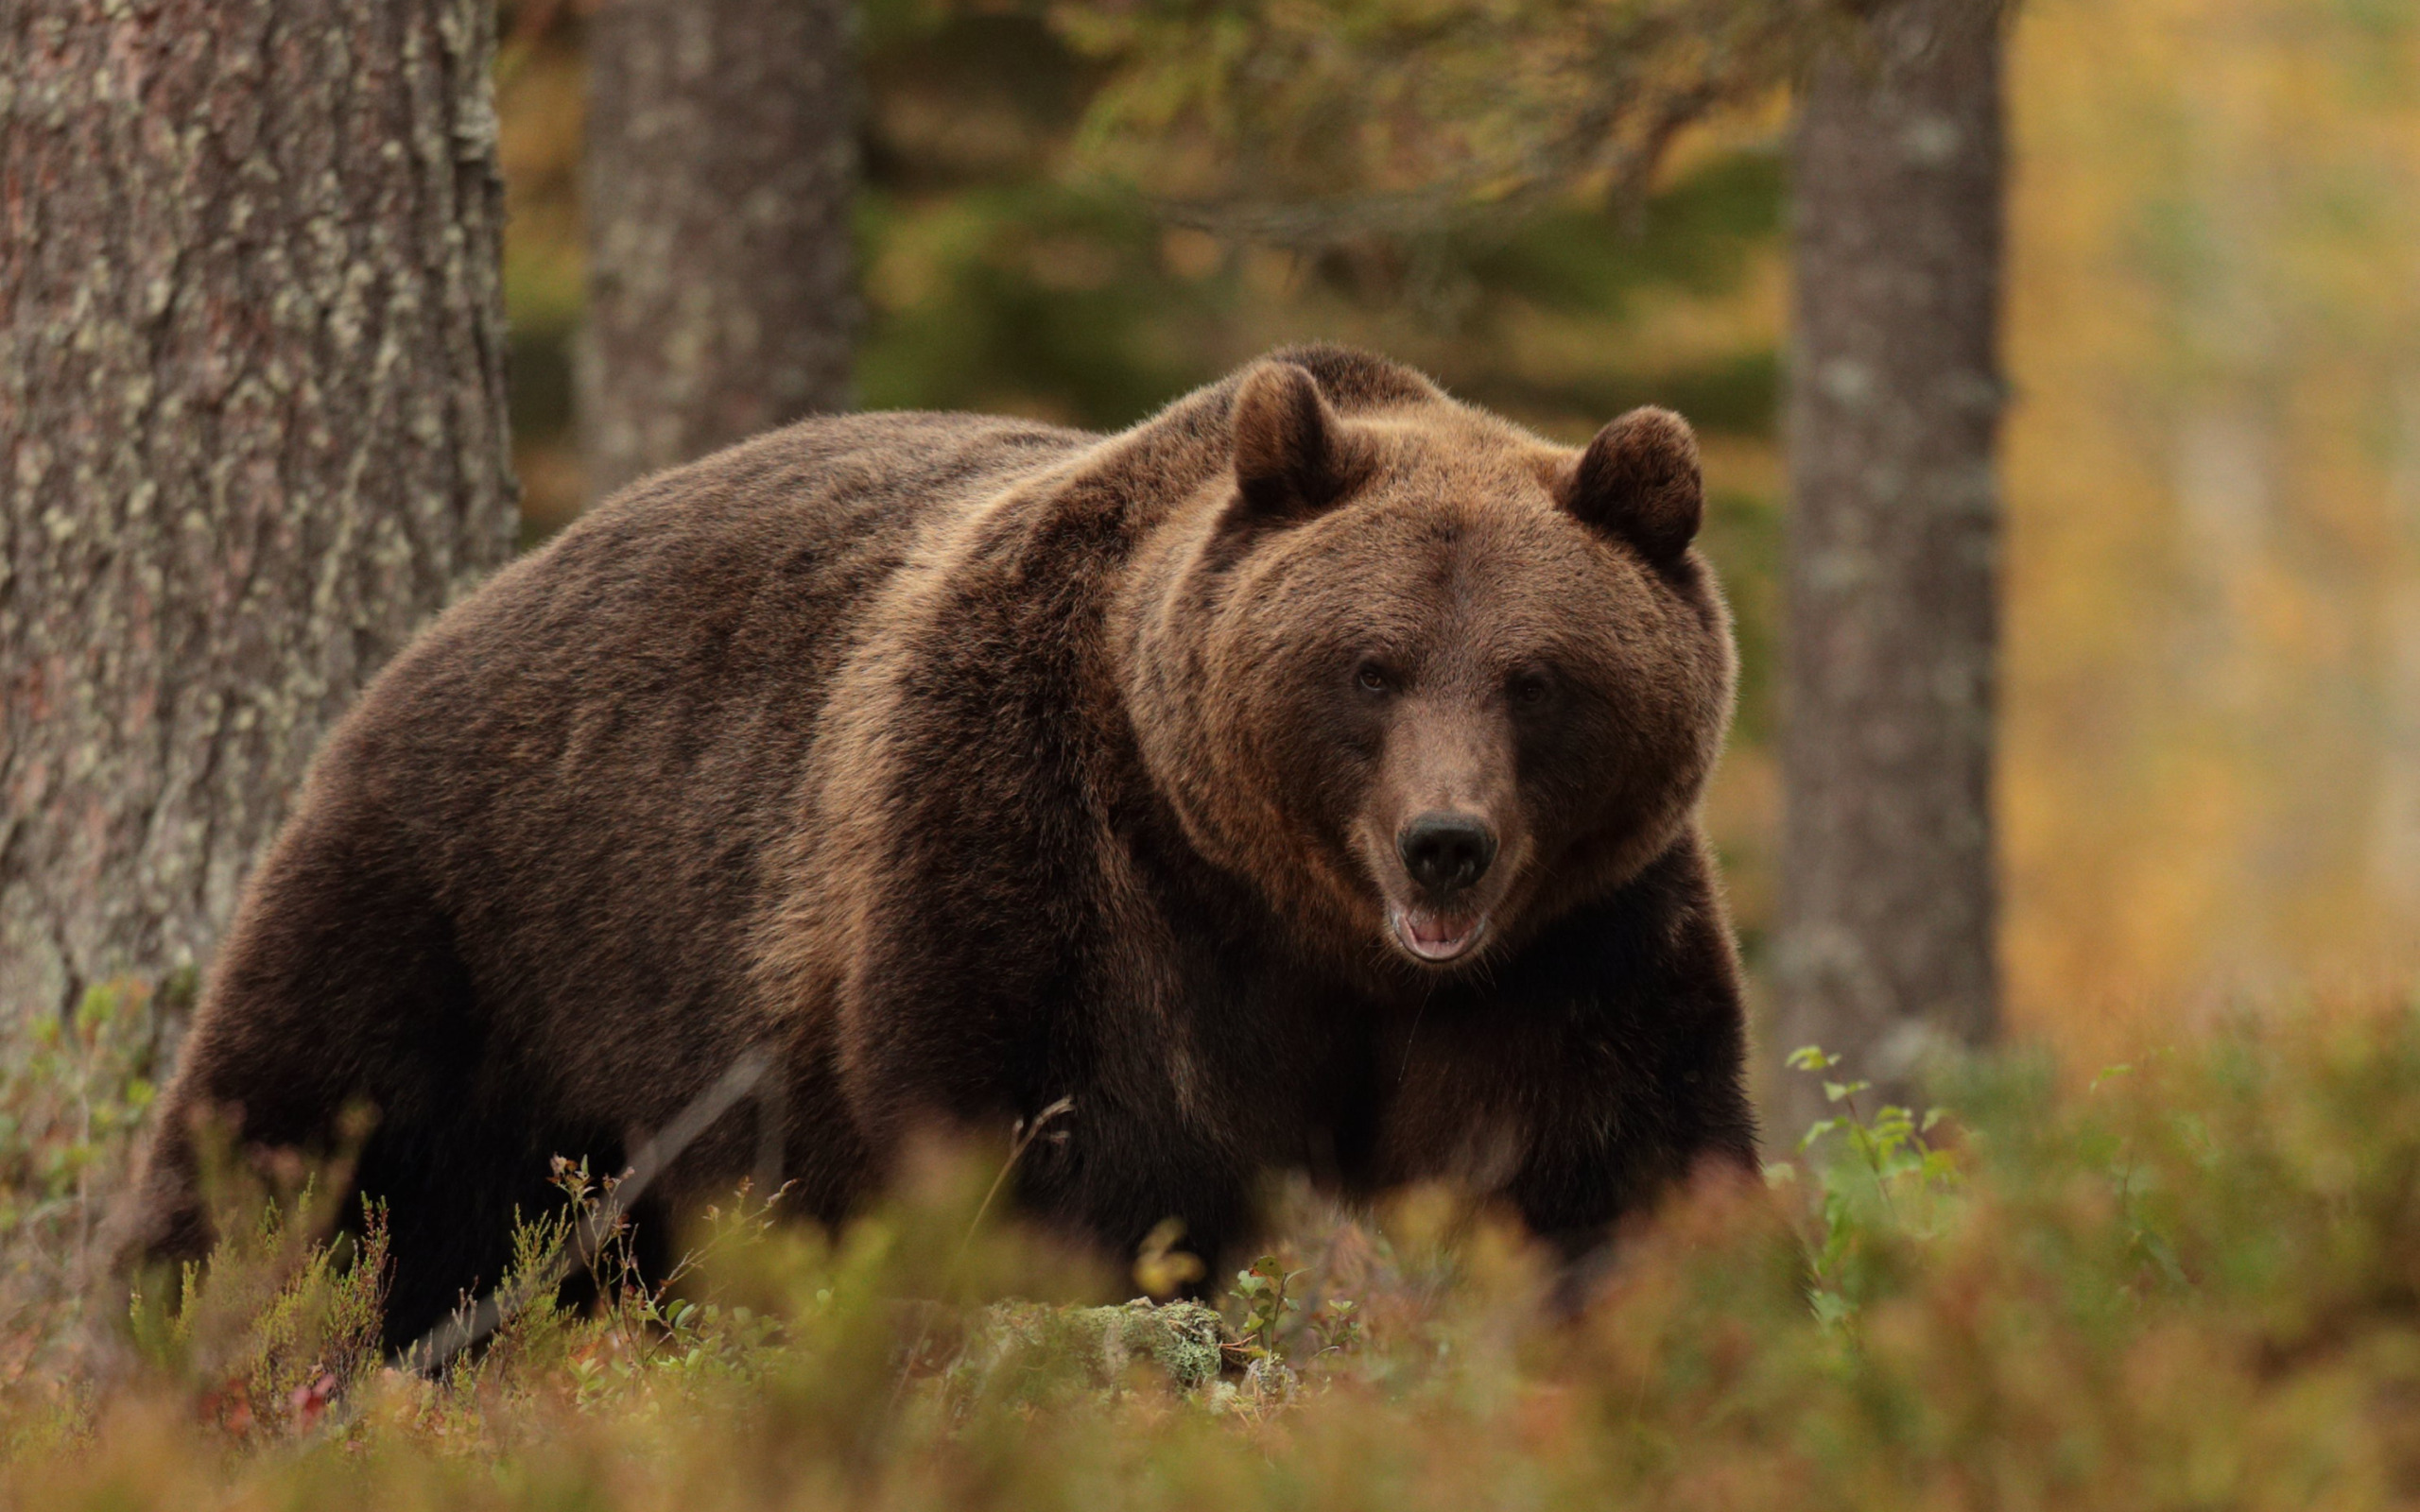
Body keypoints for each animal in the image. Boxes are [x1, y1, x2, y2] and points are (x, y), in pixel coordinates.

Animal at [122, 346, 1752, 1345]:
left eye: (1537, 678)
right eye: (1371, 666)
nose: (1443, 845)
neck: (1297, 917)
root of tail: (452, 619)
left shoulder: (1577, 941)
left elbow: (1621, 1165)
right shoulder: (1051, 856)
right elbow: (1048, 1159)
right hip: (475, 916)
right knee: (300, 1162)